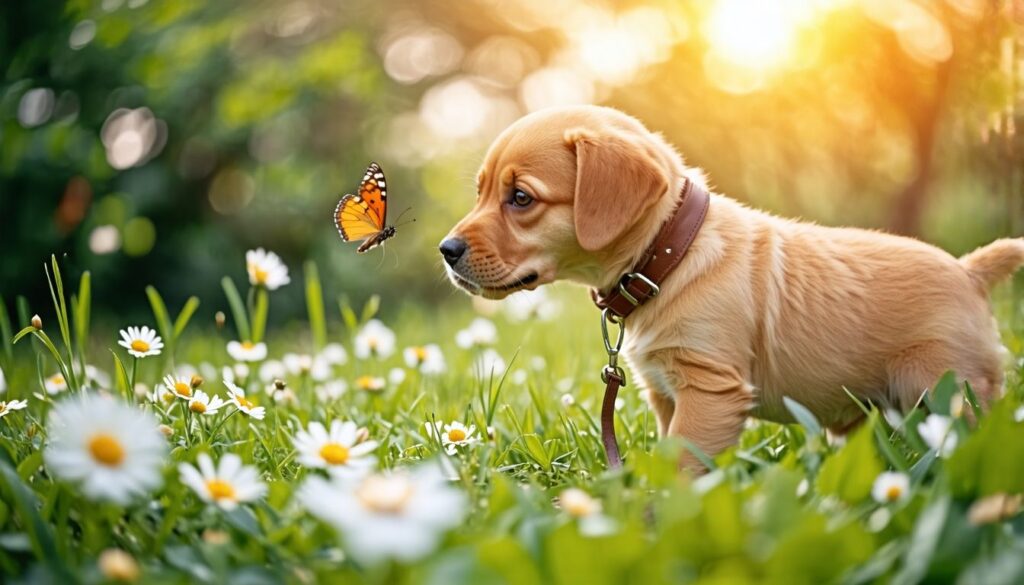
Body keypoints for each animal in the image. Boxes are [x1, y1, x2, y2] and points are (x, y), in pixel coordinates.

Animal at [444, 105, 1024, 469]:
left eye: (521, 198)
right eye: (481, 192)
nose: (446, 251)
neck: (667, 255)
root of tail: (969, 270)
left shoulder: (709, 391)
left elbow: (682, 465)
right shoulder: (666, 393)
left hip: (947, 390)